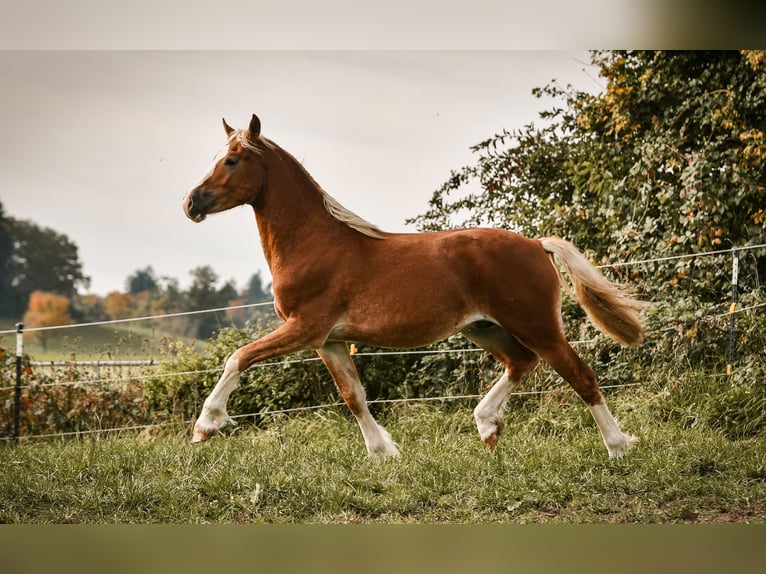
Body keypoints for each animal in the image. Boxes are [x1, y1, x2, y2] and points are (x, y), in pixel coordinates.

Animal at [182, 114, 646, 459]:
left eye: (232, 161)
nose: (191, 203)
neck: (316, 243)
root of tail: (536, 243)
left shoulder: (305, 328)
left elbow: (238, 358)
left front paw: (205, 425)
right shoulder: (330, 340)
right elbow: (353, 396)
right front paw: (383, 452)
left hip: (536, 325)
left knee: (580, 374)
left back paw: (618, 447)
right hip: (484, 328)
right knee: (521, 363)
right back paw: (487, 426)